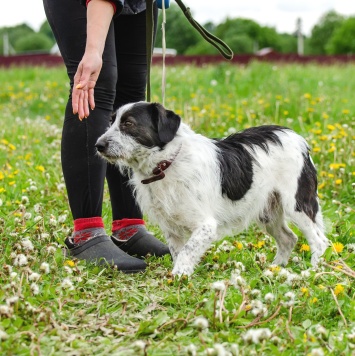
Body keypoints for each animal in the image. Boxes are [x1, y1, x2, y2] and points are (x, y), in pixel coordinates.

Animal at [95, 101, 330, 276]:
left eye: (128, 124)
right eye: (111, 122)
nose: (98, 145)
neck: (167, 163)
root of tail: (299, 139)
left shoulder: (206, 226)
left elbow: (187, 251)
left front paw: (178, 276)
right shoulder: (171, 229)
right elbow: (178, 252)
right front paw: (179, 276)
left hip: (296, 205)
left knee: (319, 241)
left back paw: (313, 272)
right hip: (268, 212)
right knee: (289, 239)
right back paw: (274, 269)